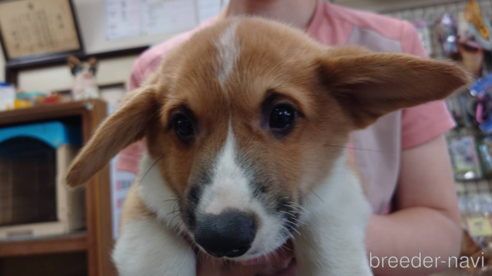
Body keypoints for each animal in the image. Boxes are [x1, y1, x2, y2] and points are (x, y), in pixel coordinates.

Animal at [65, 17, 468, 276]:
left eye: (282, 115)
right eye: (181, 123)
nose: (223, 237)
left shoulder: (340, 189)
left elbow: (330, 246)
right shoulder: (142, 206)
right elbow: (157, 258)